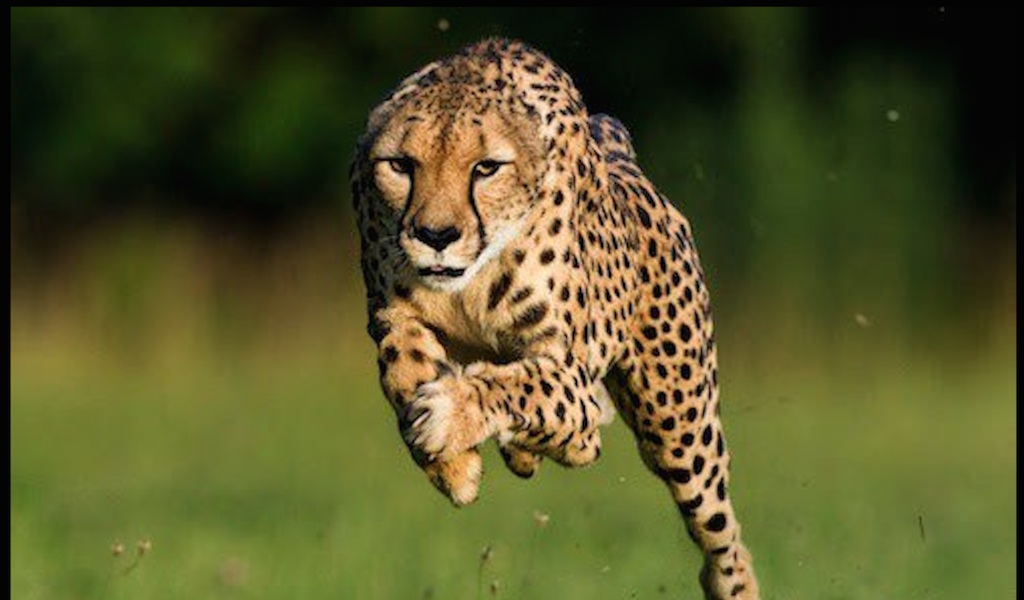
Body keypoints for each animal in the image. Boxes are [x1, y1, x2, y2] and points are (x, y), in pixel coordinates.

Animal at [350, 37, 760, 599]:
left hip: (679, 423)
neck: (471, 281)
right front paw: (452, 466)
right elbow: (402, 367)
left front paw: (451, 415)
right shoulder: (391, 312)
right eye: (400, 165)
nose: (436, 235)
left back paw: (733, 583)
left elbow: (526, 387)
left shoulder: (570, 370)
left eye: (486, 168)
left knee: (717, 529)